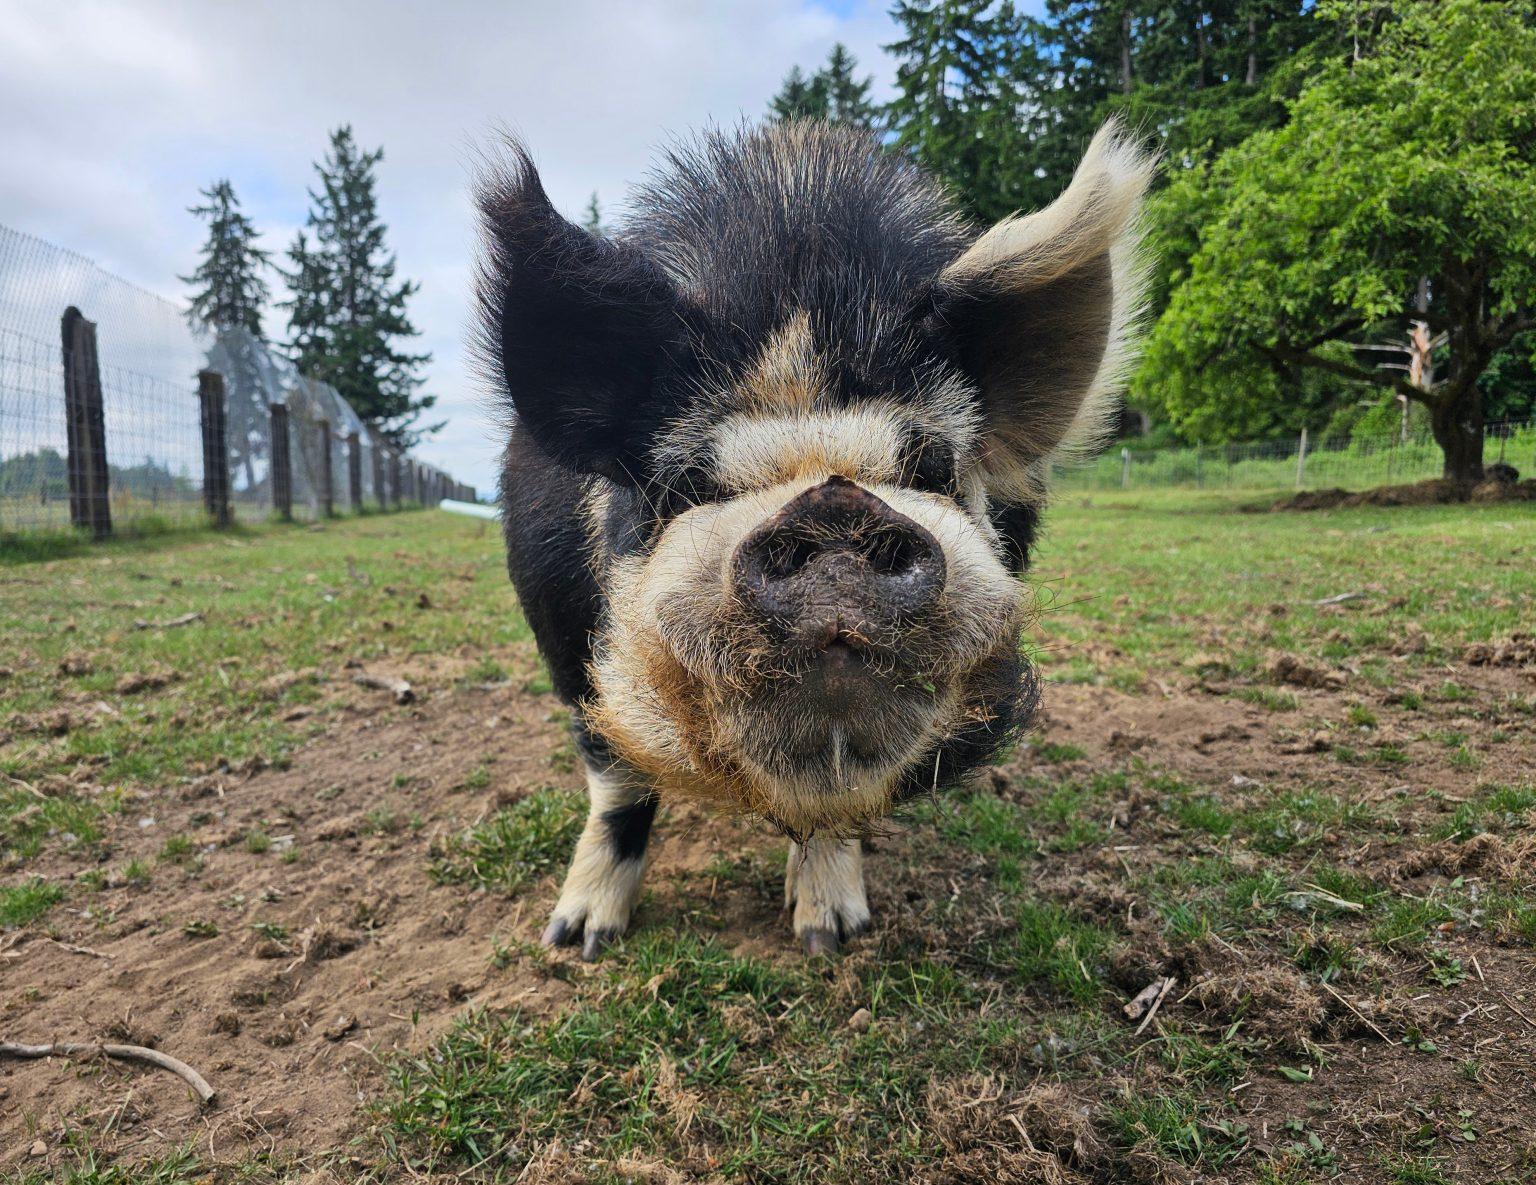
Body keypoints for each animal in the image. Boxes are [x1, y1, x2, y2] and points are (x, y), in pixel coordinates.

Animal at [478, 119, 1153, 958]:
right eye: (689, 484)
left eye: (931, 467)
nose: (835, 503)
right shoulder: (563, 631)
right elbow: (616, 776)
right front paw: (578, 942)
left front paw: (832, 937)